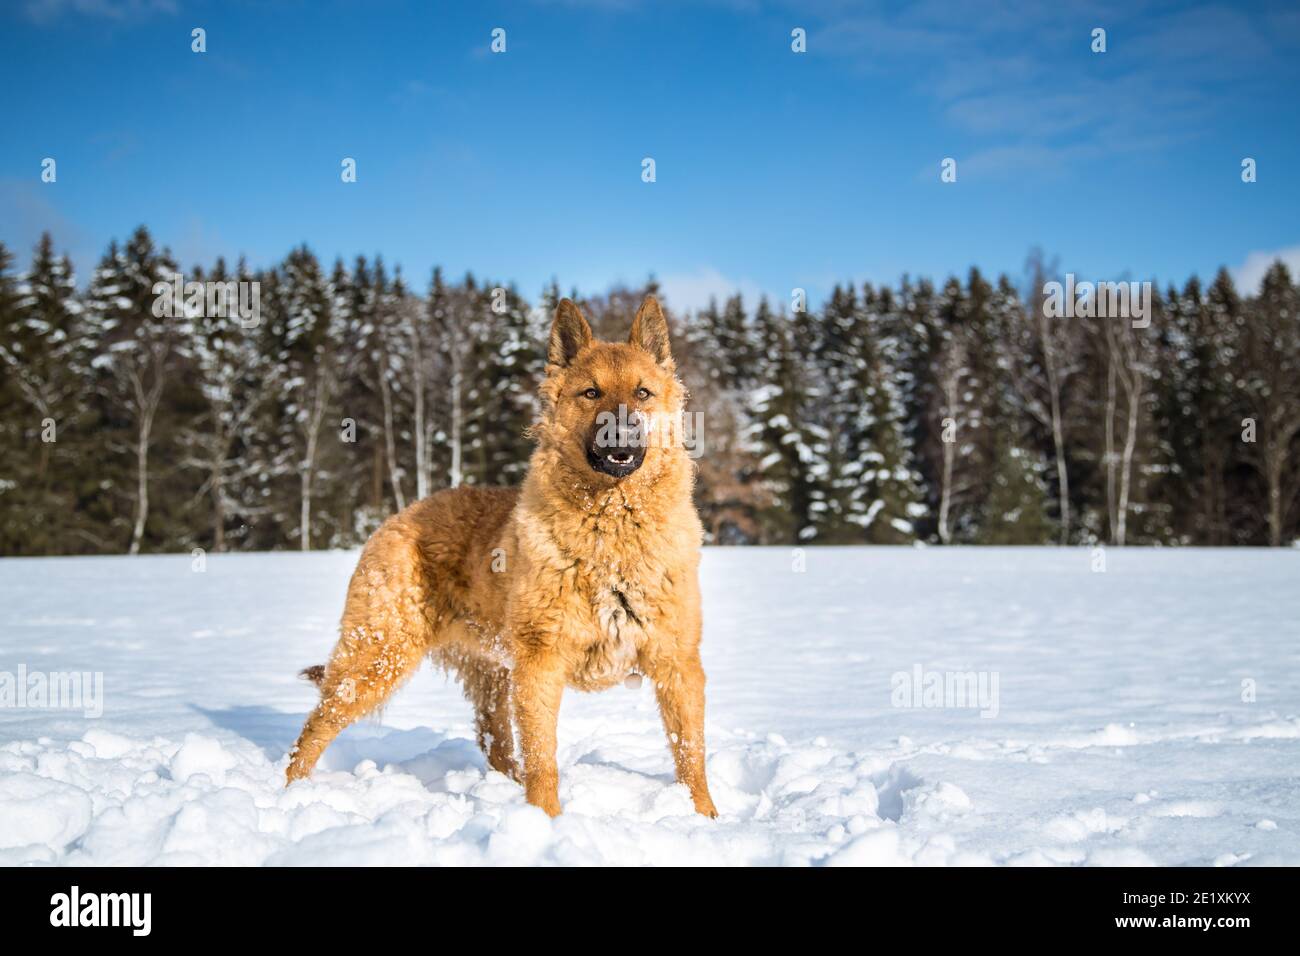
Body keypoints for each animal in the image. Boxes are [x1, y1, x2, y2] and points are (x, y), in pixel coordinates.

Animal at [284, 293, 717, 816]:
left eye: (643, 393)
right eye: (591, 393)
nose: (621, 431)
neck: (611, 531)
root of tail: (396, 516)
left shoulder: (678, 664)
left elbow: (691, 755)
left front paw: (705, 818)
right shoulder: (539, 665)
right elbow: (543, 760)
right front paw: (546, 821)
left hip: (489, 675)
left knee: (496, 745)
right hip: (379, 657)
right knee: (315, 726)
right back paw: (287, 794)